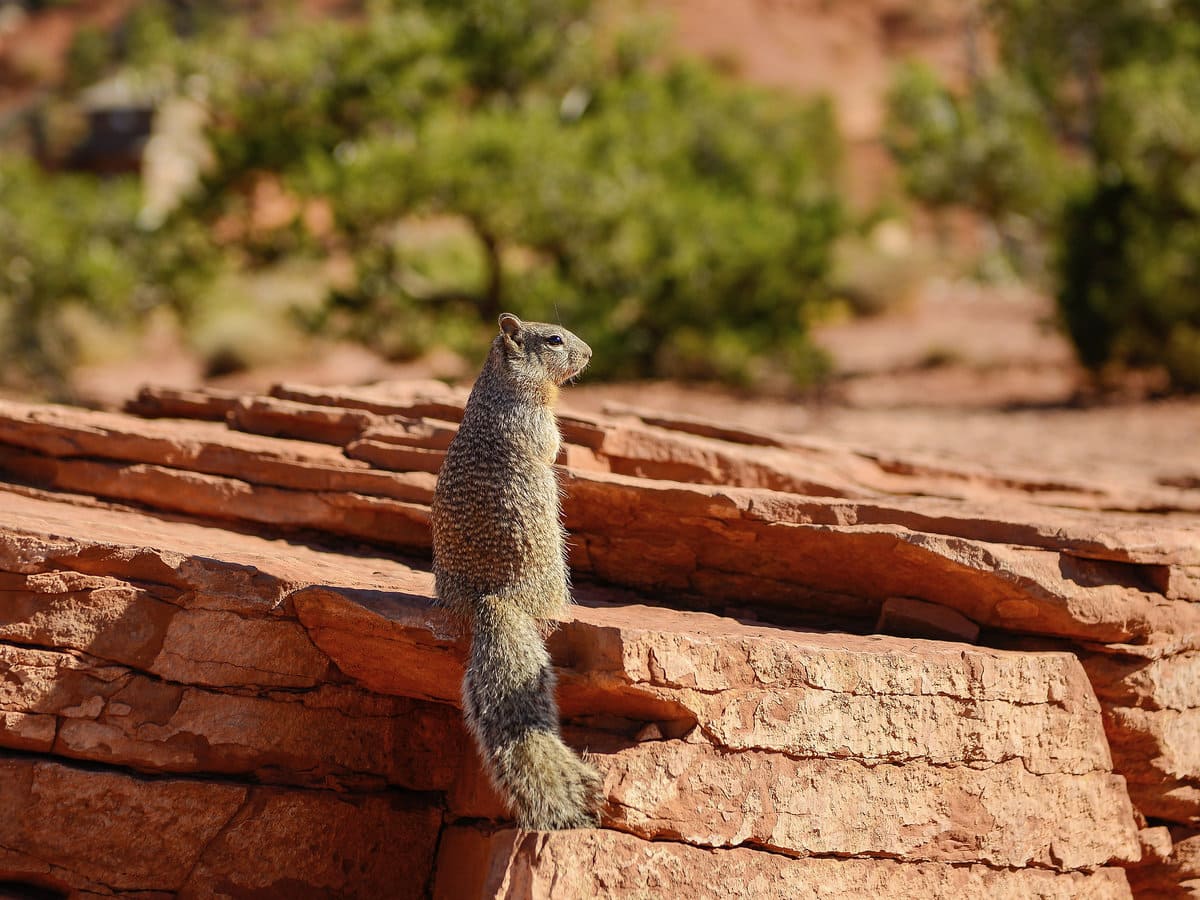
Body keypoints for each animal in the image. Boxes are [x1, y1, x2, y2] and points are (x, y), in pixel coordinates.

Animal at [429, 314, 600, 830]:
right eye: (555, 339)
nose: (591, 353)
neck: (501, 385)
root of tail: (492, 597)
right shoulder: (534, 420)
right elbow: (551, 444)